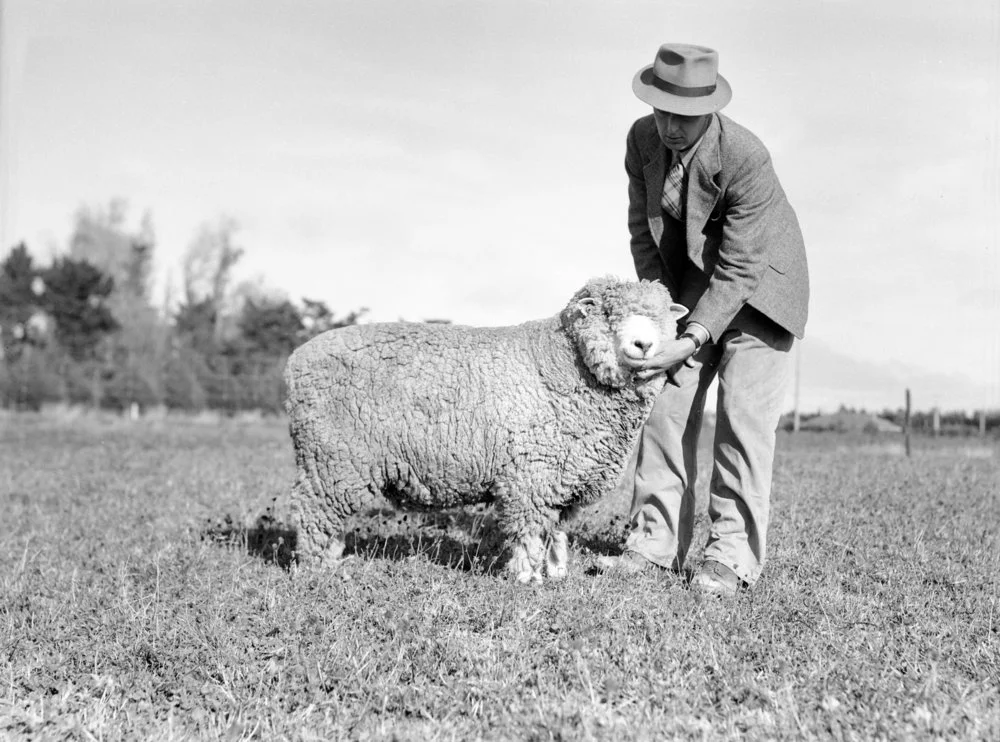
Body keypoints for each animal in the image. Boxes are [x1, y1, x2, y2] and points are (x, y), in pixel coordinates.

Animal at [282, 276, 688, 584]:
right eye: (606, 313)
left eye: (661, 315)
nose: (643, 345)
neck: (563, 364)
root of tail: (295, 360)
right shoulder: (530, 475)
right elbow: (529, 532)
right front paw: (527, 577)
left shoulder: (564, 476)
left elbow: (556, 531)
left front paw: (557, 573)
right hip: (331, 458)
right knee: (313, 511)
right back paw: (319, 569)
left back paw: (333, 561)